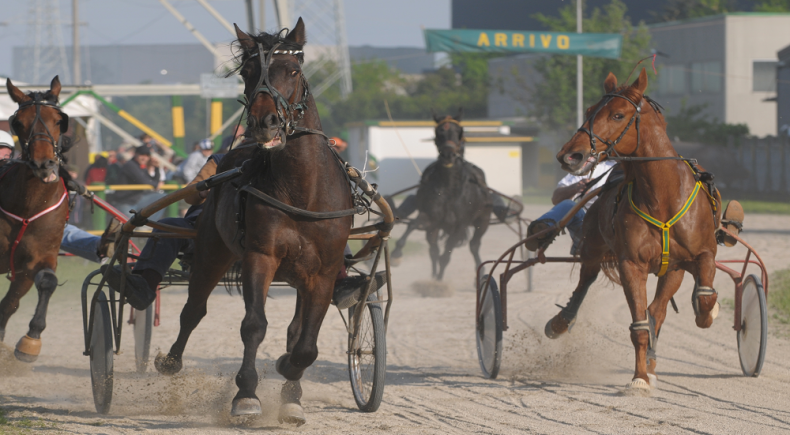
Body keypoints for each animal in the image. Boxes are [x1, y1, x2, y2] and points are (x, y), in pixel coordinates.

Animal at [0, 77, 72, 364]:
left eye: (59, 120)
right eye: (19, 122)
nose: (44, 163)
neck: (29, 207)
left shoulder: (38, 259)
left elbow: (46, 282)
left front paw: (31, 340)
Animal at [151, 20, 352, 426]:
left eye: (293, 70)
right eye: (247, 72)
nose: (264, 121)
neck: (303, 190)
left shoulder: (324, 270)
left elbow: (306, 345)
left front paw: (290, 382)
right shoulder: (261, 255)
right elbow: (254, 325)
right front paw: (246, 396)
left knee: (296, 330)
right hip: (212, 249)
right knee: (193, 309)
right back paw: (171, 361)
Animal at [388, 109, 492, 280]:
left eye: (459, 131)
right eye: (438, 132)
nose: (448, 155)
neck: (450, 188)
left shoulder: (461, 224)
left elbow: (448, 252)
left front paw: (439, 279)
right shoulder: (431, 216)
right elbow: (413, 225)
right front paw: (396, 254)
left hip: (483, 220)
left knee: (474, 245)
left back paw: (479, 272)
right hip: (436, 227)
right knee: (433, 248)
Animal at [544, 68, 724, 396]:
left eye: (617, 114)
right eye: (589, 111)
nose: (569, 155)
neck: (662, 197)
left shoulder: (701, 255)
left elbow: (703, 301)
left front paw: (708, 309)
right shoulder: (631, 264)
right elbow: (639, 325)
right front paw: (640, 377)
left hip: (672, 270)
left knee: (659, 309)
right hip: (593, 246)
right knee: (586, 280)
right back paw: (562, 322)